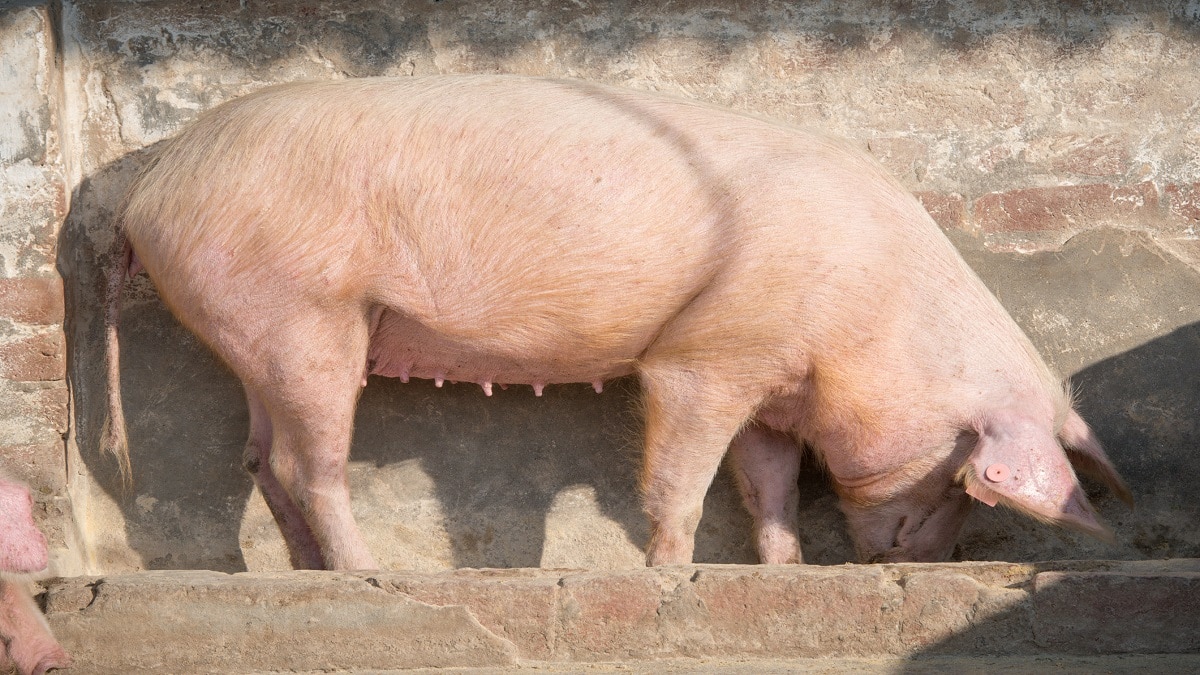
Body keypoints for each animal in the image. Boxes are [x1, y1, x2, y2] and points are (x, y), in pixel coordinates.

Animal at [103, 75, 1131, 570]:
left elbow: (767, 486)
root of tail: (150, 186)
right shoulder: (702, 359)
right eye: (960, 471)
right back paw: (369, 576)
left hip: (256, 332)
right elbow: (681, 480)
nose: (905, 561)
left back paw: (312, 571)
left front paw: (783, 571)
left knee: (254, 457)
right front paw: (669, 575)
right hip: (302, 317)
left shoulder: (768, 383)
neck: (868, 313)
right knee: (302, 463)